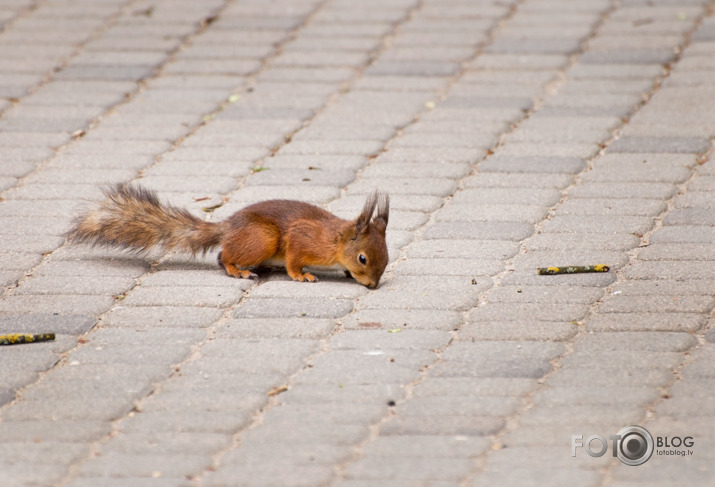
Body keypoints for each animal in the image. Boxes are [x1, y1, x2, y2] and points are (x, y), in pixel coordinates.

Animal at [68, 185, 392, 288]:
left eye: (387, 259)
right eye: (363, 258)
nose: (373, 286)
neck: (336, 241)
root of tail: (229, 227)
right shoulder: (303, 239)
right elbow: (294, 260)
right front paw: (301, 276)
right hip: (263, 239)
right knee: (223, 256)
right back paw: (240, 271)